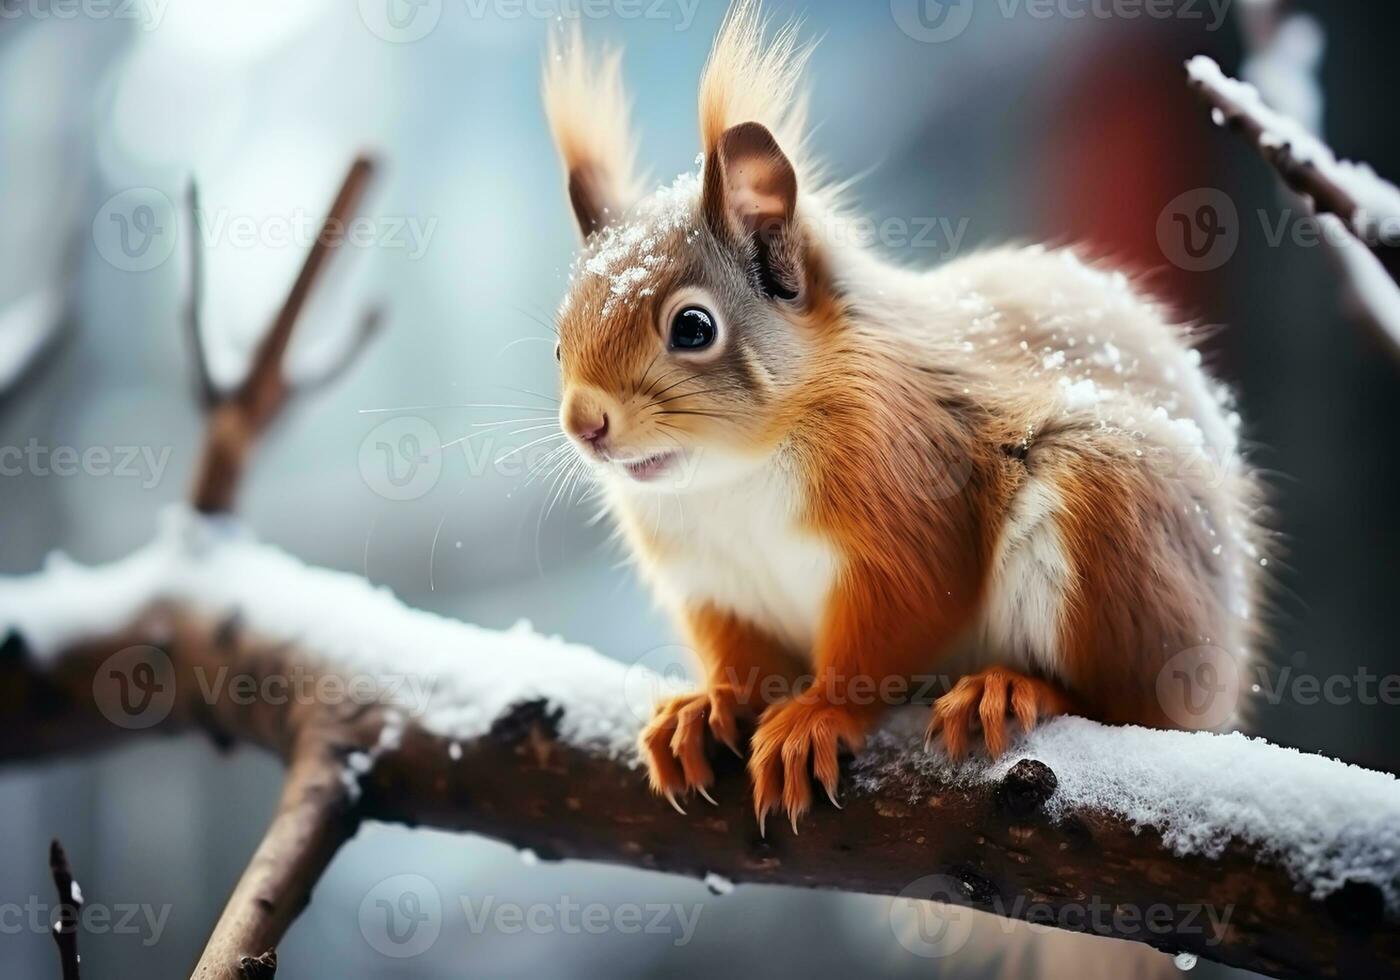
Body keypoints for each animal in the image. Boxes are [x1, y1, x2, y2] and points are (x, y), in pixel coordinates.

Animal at [540, 1, 1265, 834]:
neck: (732, 477)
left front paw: (816, 716)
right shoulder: (715, 583)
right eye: (559, 340)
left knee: (1122, 706)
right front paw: (708, 706)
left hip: (1111, 513)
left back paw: (1012, 689)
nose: (586, 425)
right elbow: (740, 661)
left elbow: (892, 628)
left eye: (692, 327)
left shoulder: (910, 503)